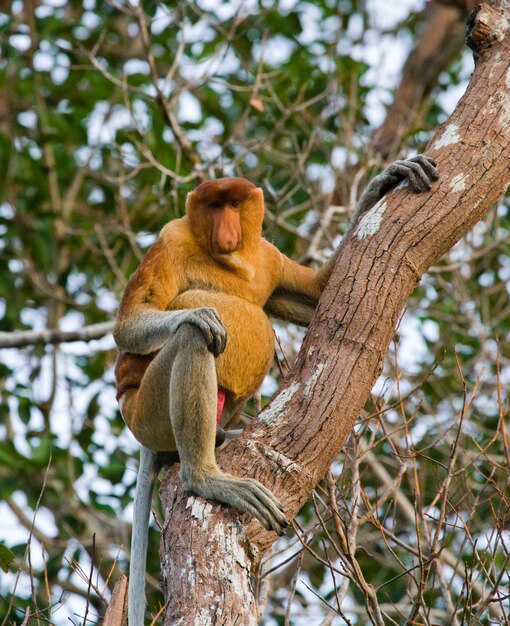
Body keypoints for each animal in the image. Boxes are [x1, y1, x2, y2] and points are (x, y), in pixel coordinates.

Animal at [112, 154, 438, 620]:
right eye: (214, 205)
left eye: (234, 203)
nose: (227, 230)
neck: (229, 260)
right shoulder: (170, 240)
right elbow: (130, 324)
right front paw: (198, 314)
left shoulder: (266, 257)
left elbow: (316, 294)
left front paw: (386, 181)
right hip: (146, 412)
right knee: (192, 341)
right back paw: (205, 474)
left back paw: (218, 437)